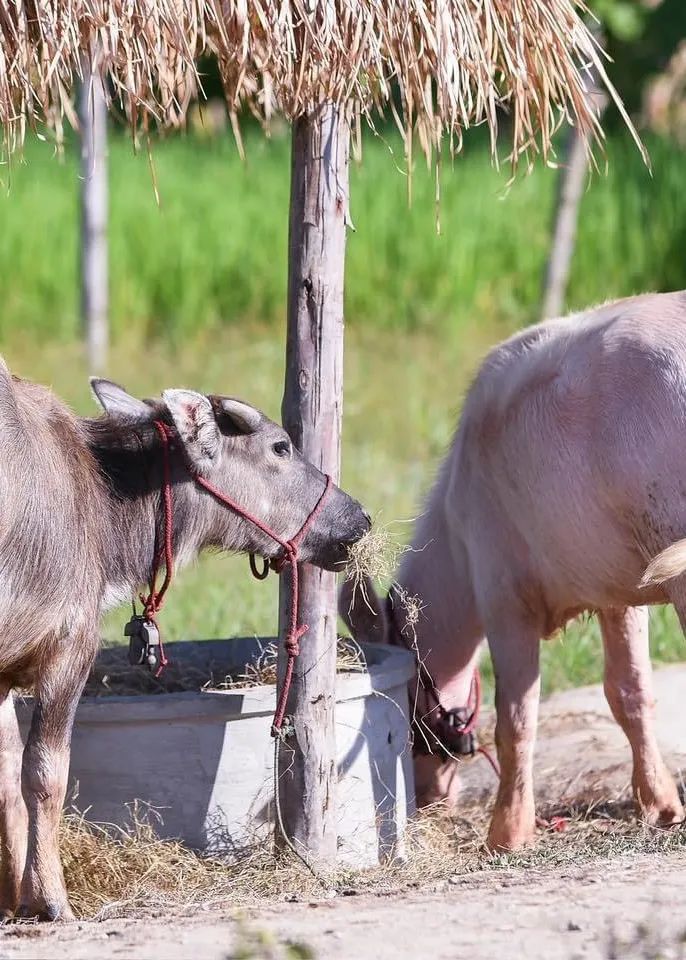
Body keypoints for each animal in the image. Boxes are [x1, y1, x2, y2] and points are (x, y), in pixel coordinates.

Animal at [0, 370, 370, 924]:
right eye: (280, 446)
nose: (359, 518)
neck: (104, 502)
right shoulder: (68, 649)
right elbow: (45, 776)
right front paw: (52, 899)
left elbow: (7, 780)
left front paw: (14, 899)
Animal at [344, 290, 686, 848]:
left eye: (408, 701)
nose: (427, 796)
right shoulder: (618, 589)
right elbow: (630, 693)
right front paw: (660, 804)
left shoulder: (503, 595)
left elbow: (515, 719)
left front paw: (507, 830)